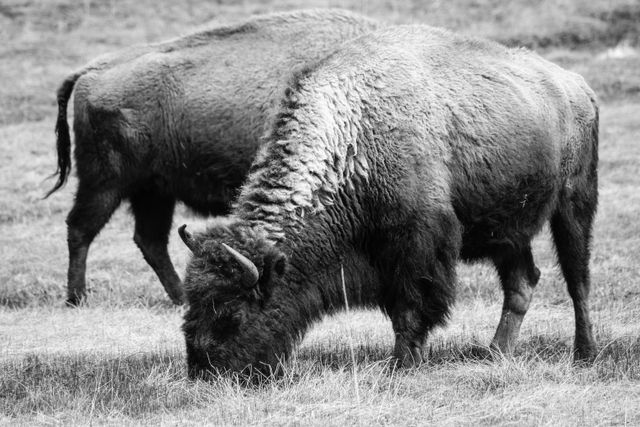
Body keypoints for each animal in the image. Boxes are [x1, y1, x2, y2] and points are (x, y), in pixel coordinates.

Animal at [47, 8, 382, 306]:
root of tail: (92, 70)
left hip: (154, 192)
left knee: (149, 240)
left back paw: (179, 298)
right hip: (105, 183)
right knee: (81, 228)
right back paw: (77, 298)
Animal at [179, 25, 600, 376]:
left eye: (233, 314)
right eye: (191, 304)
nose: (204, 372)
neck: (352, 138)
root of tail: (578, 86)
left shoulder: (417, 246)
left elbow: (411, 309)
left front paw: (402, 363)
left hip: (574, 205)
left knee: (576, 280)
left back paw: (584, 354)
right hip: (509, 229)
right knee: (522, 281)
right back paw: (495, 352)